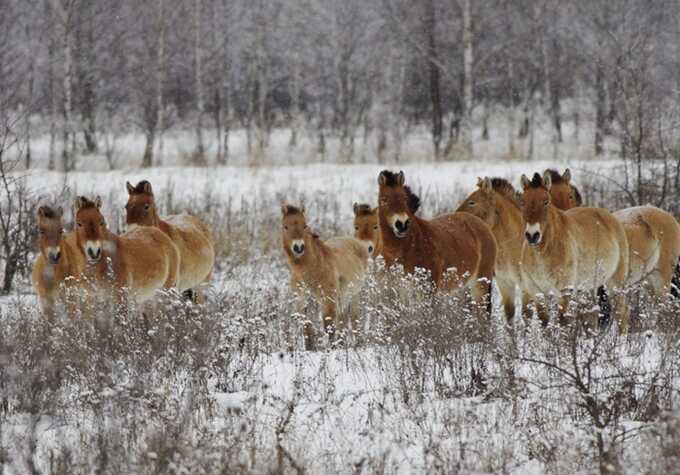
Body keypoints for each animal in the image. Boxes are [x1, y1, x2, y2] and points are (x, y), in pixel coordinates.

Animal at [280, 205, 370, 350]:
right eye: (285, 226)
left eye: (305, 225)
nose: (298, 247)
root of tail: (357, 242)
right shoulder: (301, 301)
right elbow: (307, 327)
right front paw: (310, 349)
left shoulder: (328, 300)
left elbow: (329, 325)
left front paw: (332, 349)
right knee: (342, 319)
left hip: (354, 295)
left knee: (354, 318)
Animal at [374, 169, 496, 306]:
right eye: (384, 199)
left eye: (404, 198)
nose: (402, 224)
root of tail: (481, 223)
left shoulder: (427, 293)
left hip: (480, 285)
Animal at [520, 171, 628, 330]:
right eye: (523, 202)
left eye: (546, 201)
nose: (533, 235)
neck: (544, 252)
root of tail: (610, 217)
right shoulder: (537, 291)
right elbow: (545, 323)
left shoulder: (565, 291)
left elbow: (562, 321)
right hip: (589, 287)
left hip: (615, 284)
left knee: (622, 314)